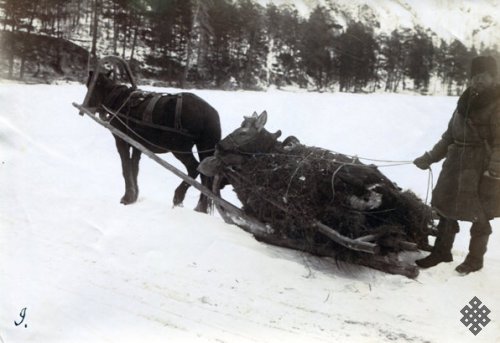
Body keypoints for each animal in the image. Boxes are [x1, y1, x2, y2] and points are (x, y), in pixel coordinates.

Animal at [84, 70, 221, 214]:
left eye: (89, 86)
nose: (88, 106)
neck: (119, 101)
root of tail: (209, 113)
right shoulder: (137, 144)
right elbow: (134, 167)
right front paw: (134, 196)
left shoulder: (122, 141)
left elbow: (126, 167)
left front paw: (127, 197)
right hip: (202, 147)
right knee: (205, 177)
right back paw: (201, 208)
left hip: (179, 148)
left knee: (194, 169)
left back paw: (179, 197)